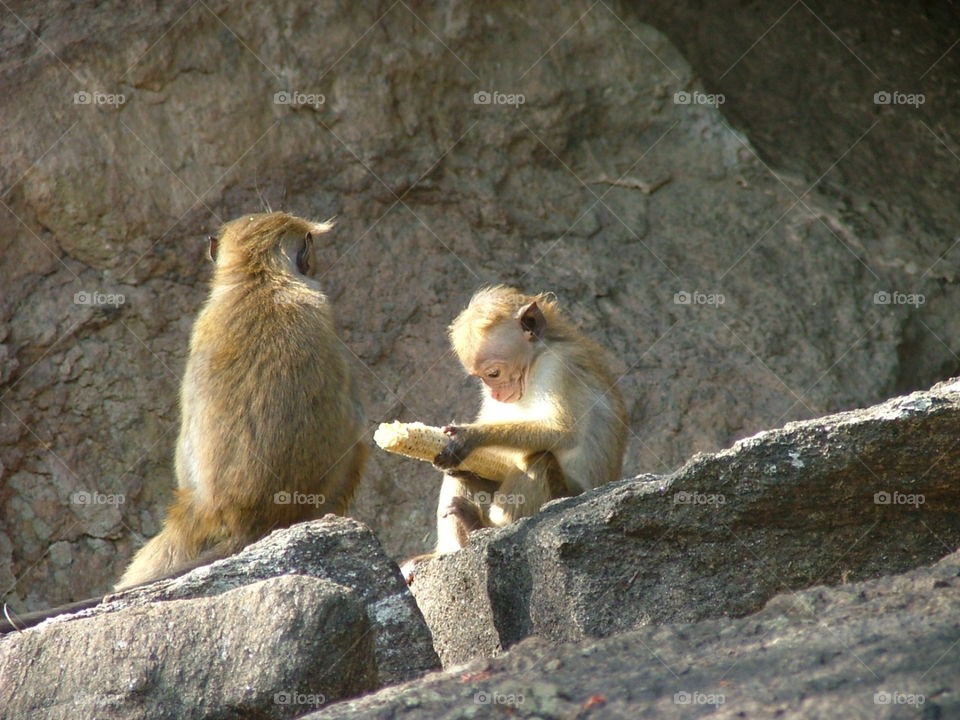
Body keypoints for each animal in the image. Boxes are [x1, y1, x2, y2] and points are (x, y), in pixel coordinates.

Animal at [401, 285, 626, 582]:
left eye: (493, 373)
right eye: (482, 378)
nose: (495, 392)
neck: (534, 363)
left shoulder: (559, 365)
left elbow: (562, 430)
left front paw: (470, 436)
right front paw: (460, 460)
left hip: (564, 494)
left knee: (538, 459)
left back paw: (478, 527)